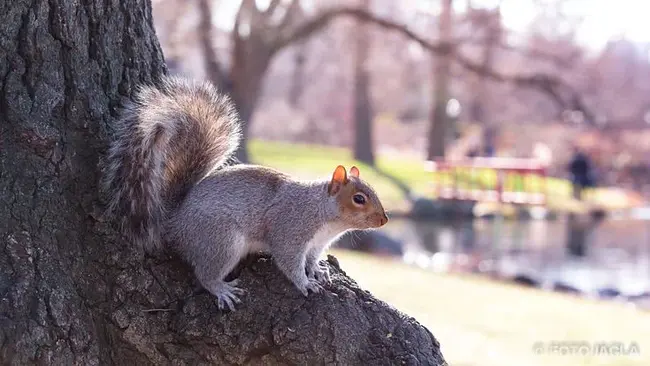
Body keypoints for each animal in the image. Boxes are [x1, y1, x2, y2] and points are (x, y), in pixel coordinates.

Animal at [100, 76, 384, 310]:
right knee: (205, 273)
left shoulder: (316, 244)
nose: (384, 220)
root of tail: (174, 221)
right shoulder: (290, 230)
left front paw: (318, 270)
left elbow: (312, 259)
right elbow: (288, 261)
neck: (323, 214)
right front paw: (304, 283)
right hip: (221, 240)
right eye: (359, 198)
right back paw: (220, 289)